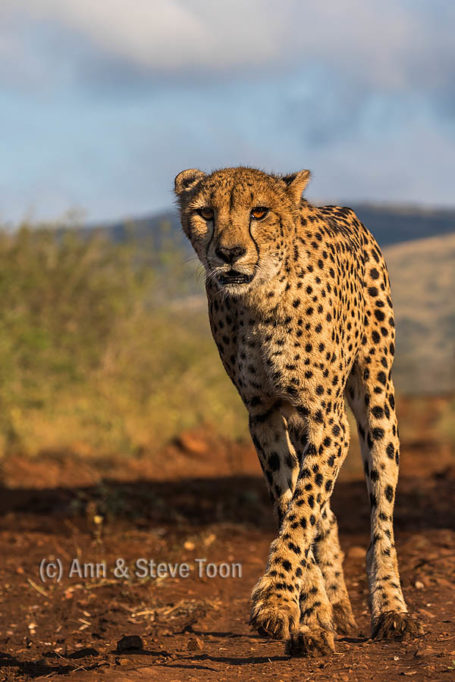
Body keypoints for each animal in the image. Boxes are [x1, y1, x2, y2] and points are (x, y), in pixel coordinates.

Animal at [174, 166, 423, 657]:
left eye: (259, 212)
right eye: (205, 213)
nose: (229, 253)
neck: (260, 300)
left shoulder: (327, 419)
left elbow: (303, 508)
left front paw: (275, 599)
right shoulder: (264, 415)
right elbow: (293, 505)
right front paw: (303, 613)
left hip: (376, 398)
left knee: (380, 518)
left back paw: (390, 609)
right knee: (327, 515)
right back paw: (333, 610)